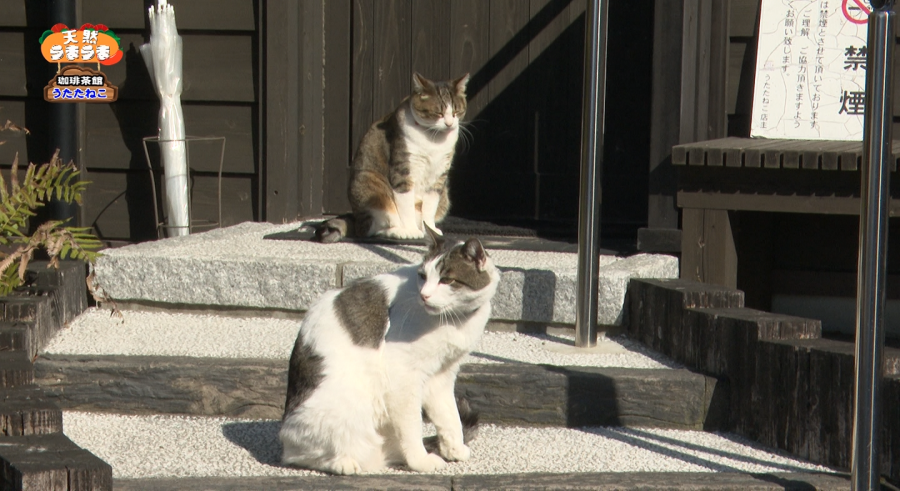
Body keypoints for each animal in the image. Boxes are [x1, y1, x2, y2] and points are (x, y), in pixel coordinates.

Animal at [280, 226, 500, 472]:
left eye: (447, 280)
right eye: (423, 276)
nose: (424, 295)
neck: (456, 320)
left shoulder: (442, 376)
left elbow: (450, 417)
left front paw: (454, 448)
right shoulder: (403, 374)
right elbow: (413, 425)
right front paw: (420, 461)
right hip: (344, 405)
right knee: (300, 455)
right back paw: (343, 463)